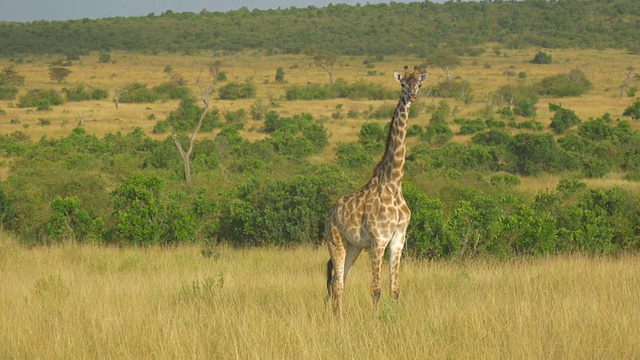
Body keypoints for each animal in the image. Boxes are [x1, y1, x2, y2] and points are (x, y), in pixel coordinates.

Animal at [324, 66, 430, 316]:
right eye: (403, 85)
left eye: (419, 85)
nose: (412, 96)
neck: (393, 184)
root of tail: (329, 214)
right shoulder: (378, 239)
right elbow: (376, 290)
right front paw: (376, 320)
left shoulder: (398, 238)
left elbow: (395, 289)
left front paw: (394, 318)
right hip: (335, 242)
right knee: (337, 283)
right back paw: (338, 320)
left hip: (353, 246)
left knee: (340, 281)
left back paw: (338, 317)